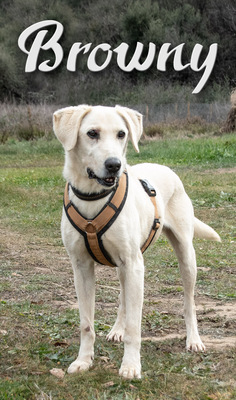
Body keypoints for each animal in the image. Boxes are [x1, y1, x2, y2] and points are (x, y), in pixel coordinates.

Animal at [52, 104, 220, 380]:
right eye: (92, 133)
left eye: (121, 134)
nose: (114, 165)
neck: (94, 196)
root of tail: (165, 168)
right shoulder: (82, 267)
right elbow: (86, 324)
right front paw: (84, 360)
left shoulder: (133, 265)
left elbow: (134, 326)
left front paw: (131, 366)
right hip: (125, 267)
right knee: (123, 298)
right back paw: (116, 329)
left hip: (185, 257)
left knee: (189, 303)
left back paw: (194, 339)